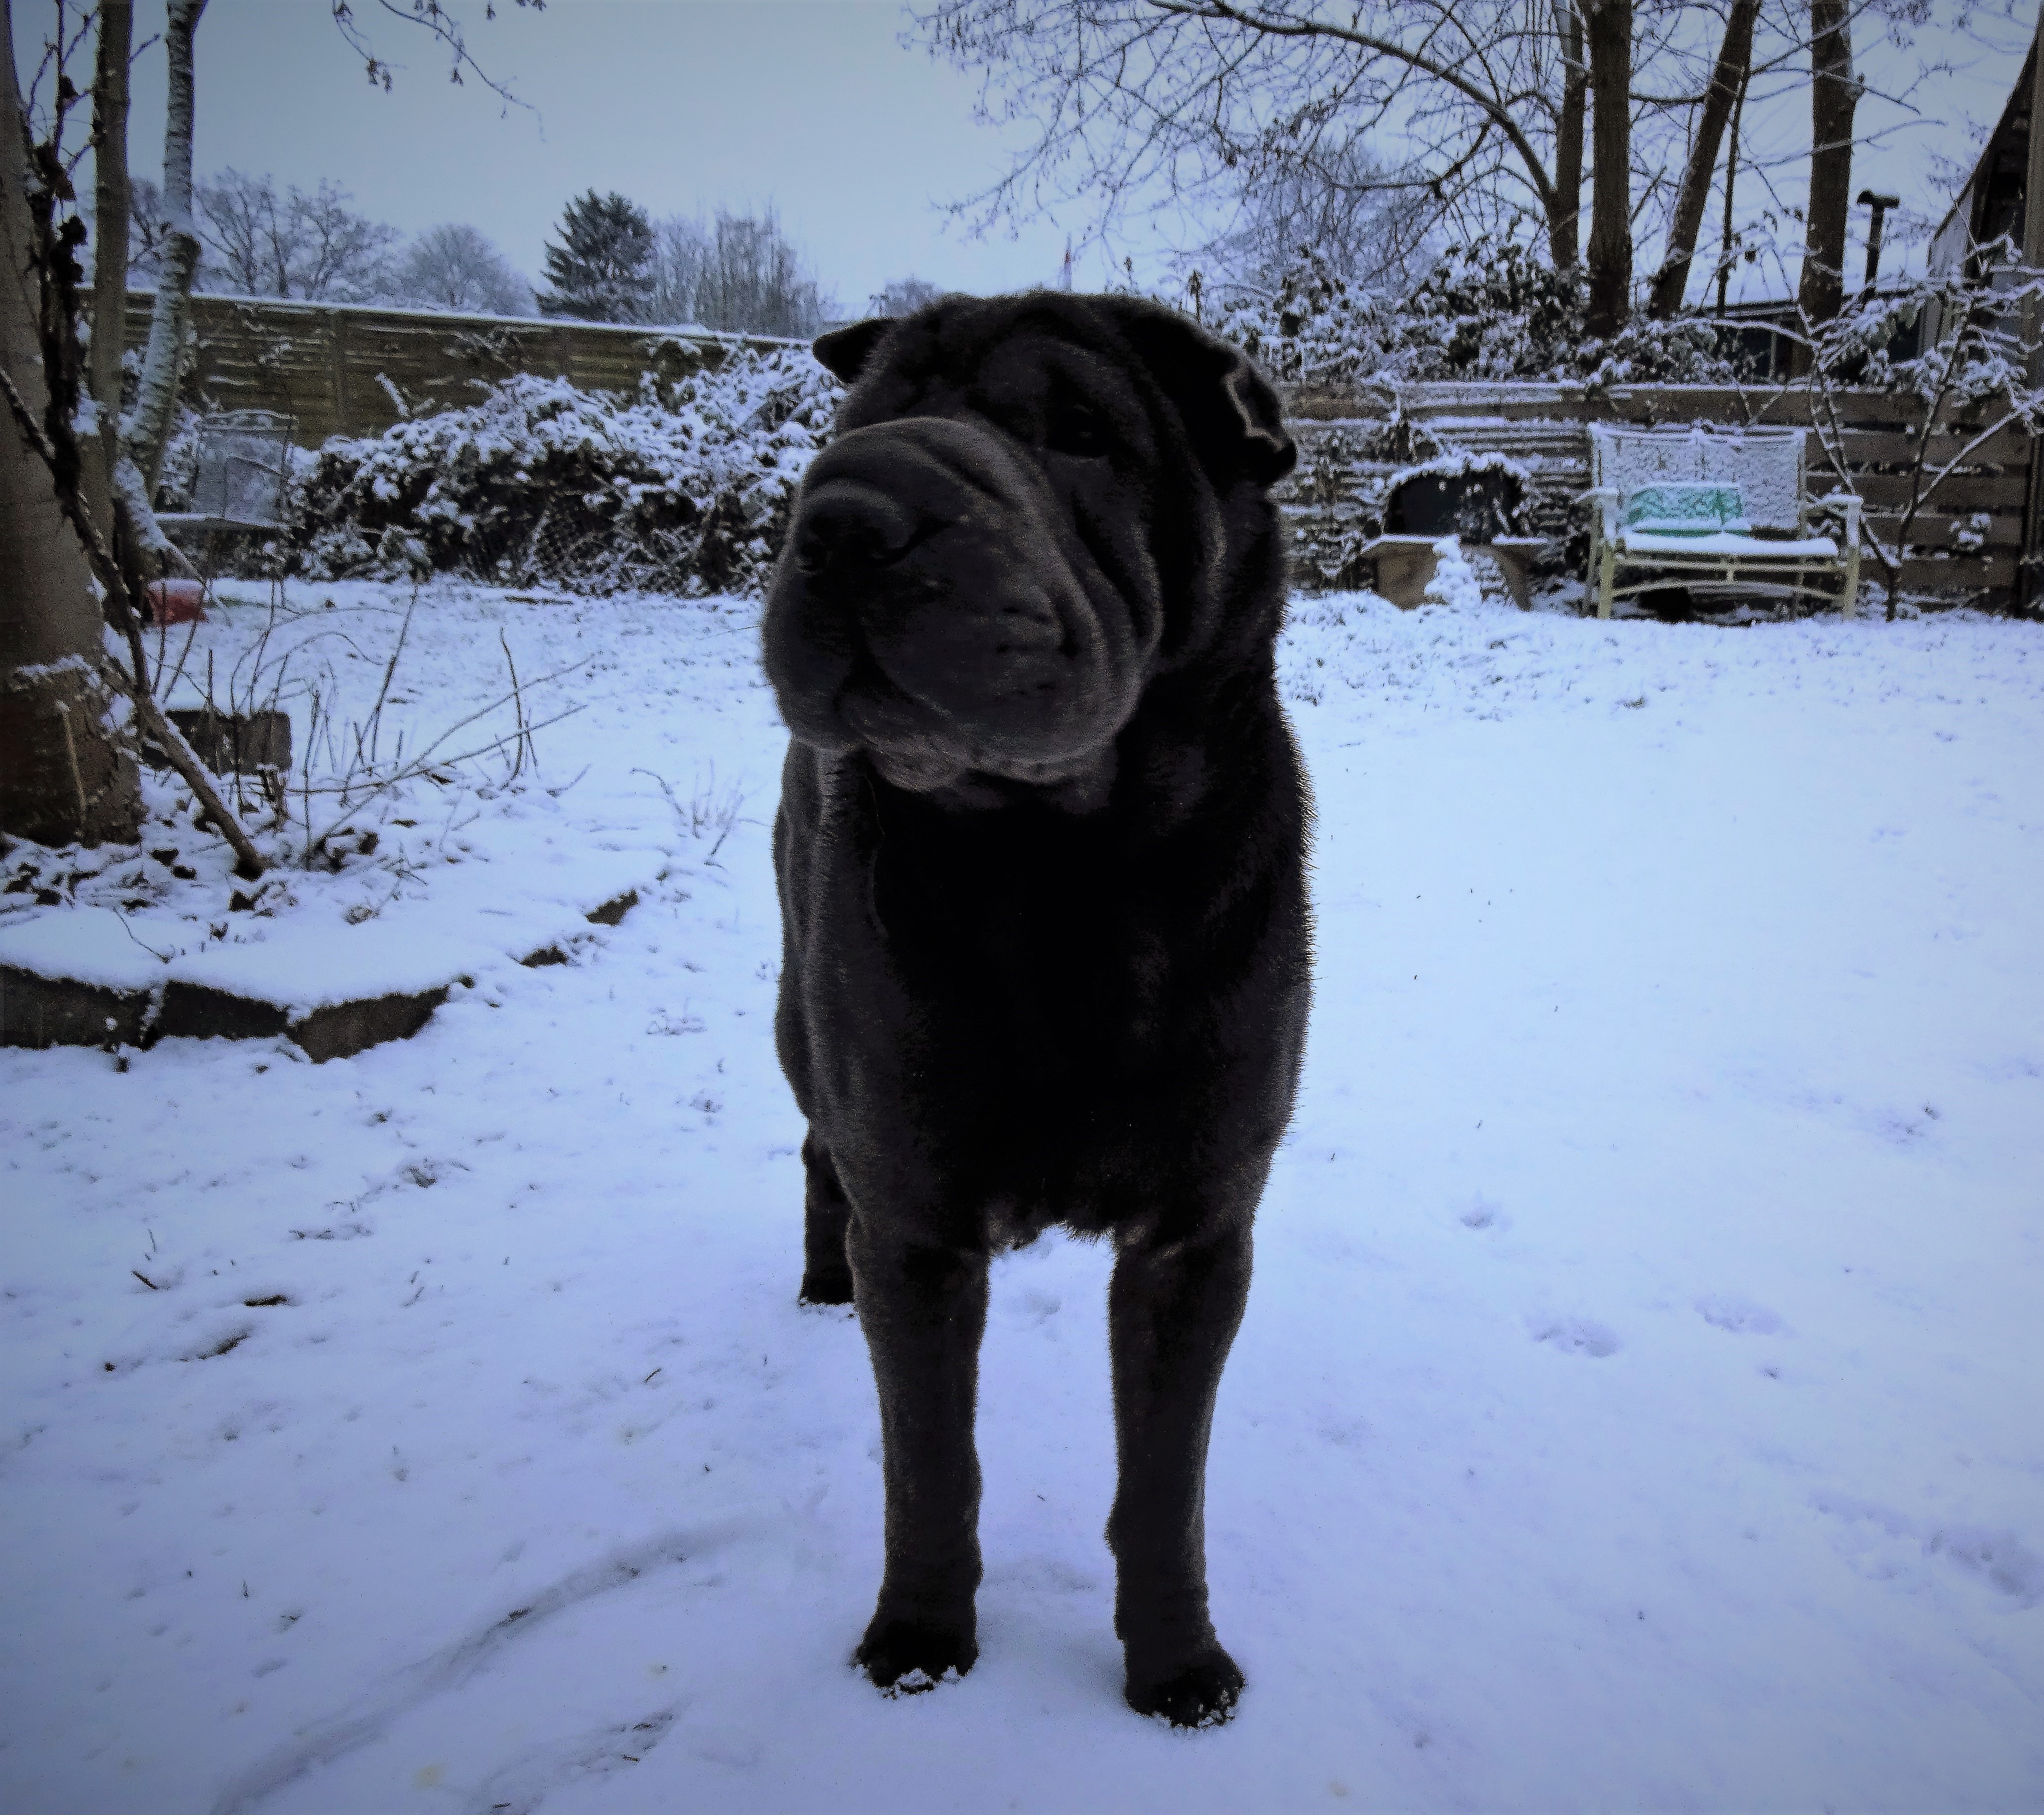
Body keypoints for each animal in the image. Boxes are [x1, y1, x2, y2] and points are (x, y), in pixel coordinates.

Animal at [764, 294, 1308, 1733]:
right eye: (860, 420)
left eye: (1079, 434)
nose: (844, 512)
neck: (1062, 869)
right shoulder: (916, 1221)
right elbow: (929, 1465)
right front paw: (914, 1639)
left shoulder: (1195, 1232)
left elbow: (1164, 1485)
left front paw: (1177, 1666)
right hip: (798, 1016)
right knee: (814, 1146)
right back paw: (818, 1278)